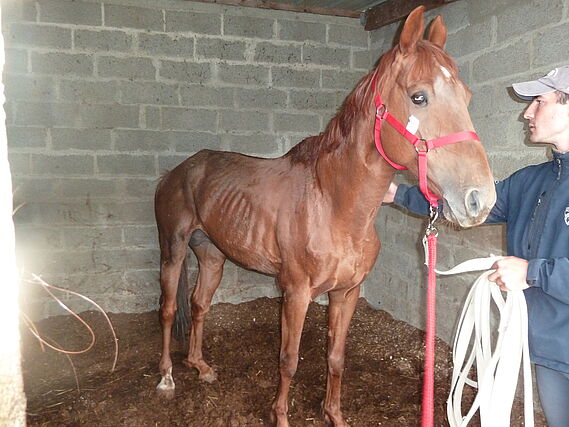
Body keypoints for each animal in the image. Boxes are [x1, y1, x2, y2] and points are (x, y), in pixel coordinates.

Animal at [153, 6, 494, 427]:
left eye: (466, 96)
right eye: (419, 96)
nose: (480, 199)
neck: (335, 207)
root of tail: (177, 172)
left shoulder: (346, 293)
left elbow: (335, 357)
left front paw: (333, 414)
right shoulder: (296, 294)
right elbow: (288, 360)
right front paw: (280, 416)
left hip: (212, 255)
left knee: (199, 305)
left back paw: (200, 366)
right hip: (173, 249)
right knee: (169, 310)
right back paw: (167, 376)